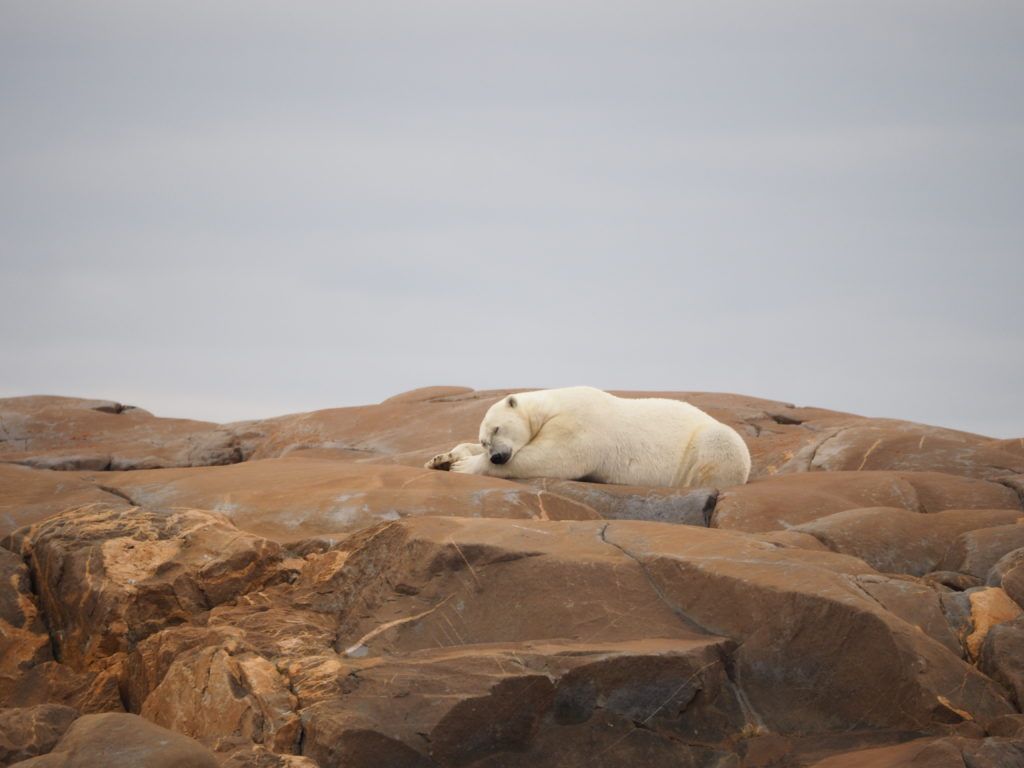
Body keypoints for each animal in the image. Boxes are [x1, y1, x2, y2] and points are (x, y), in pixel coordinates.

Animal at [423, 387, 753, 489]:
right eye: (485, 440)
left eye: (497, 429)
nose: (497, 456)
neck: (553, 405)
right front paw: (441, 459)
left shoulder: (578, 425)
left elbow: (550, 458)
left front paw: (463, 466)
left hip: (712, 442)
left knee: (719, 446)